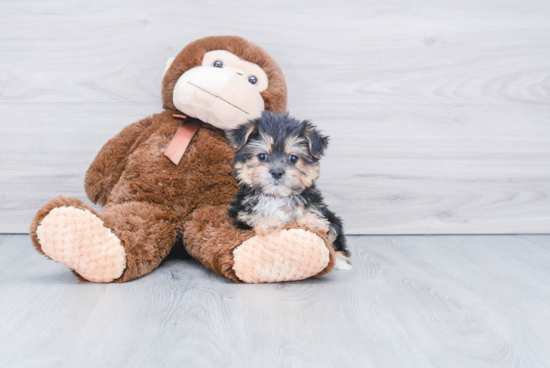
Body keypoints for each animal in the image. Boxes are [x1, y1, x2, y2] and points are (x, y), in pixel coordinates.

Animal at [226, 110, 352, 268]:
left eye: (293, 158)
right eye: (262, 156)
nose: (277, 172)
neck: (277, 196)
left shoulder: (320, 209)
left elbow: (321, 222)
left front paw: (312, 222)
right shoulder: (240, 217)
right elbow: (255, 219)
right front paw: (269, 224)